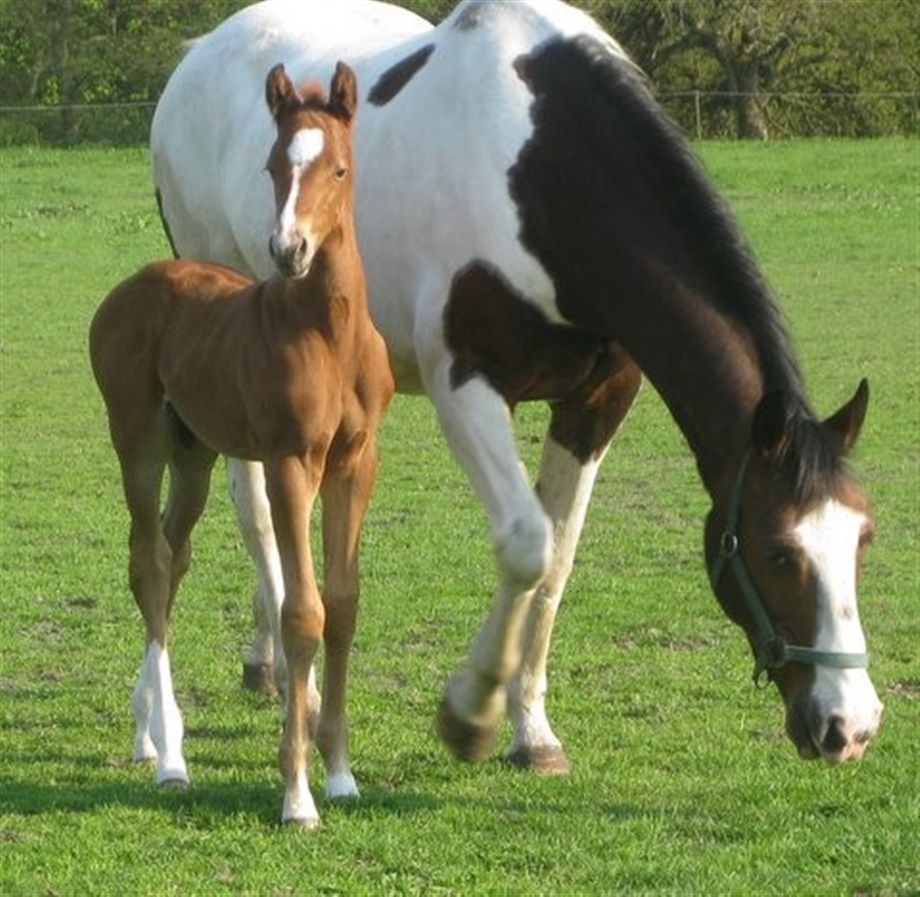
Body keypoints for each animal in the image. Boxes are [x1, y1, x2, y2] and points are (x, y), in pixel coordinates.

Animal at [91, 62, 394, 826]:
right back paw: (171, 756)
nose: (289, 250)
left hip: (193, 451)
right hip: (137, 439)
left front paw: (341, 775)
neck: (327, 331)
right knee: (147, 561)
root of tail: (130, 286)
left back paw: (147, 732)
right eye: (272, 165)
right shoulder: (290, 461)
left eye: (339, 167)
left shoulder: (355, 461)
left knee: (173, 554)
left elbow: (345, 603)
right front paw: (297, 795)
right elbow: (303, 610)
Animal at [151, 0, 882, 770]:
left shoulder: (596, 402)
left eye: (862, 538)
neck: (540, 173)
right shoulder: (466, 387)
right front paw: (469, 712)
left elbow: (556, 559)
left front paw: (532, 730)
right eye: (778, 550)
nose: (850, 724)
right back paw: (305, 686)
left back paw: (266, 661)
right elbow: (527, 544)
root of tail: (201, 53)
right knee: (255, 507)